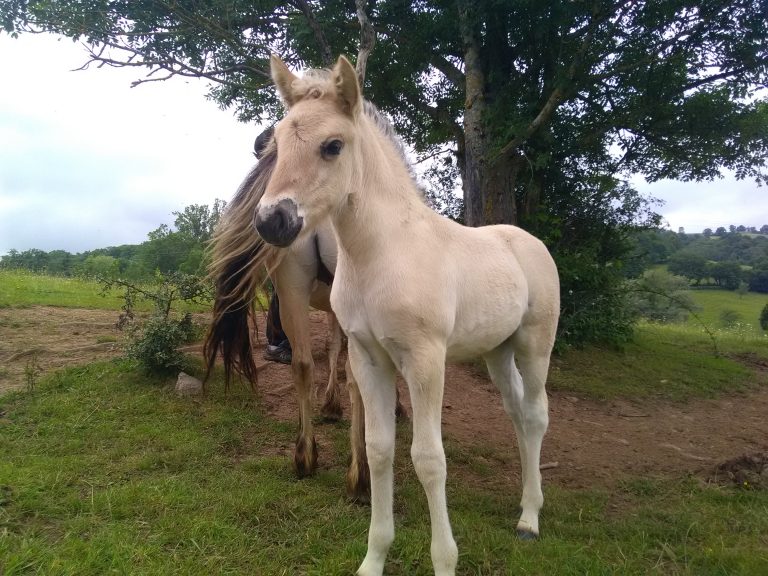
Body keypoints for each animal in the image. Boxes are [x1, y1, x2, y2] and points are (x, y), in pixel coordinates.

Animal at [253, 55, 560, 576]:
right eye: (275, 143)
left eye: (332, 145)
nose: (272, 221)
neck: (383, 252)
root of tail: (528, 241)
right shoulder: (367, 357)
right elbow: (380, 451)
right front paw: (372, 558)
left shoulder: (425, 359)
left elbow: (429, 459)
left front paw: (445, 560)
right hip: (497, 352)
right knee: (517, 413)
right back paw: (523, 504)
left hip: (535, 345)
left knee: (536, 414)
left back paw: (531, 520)